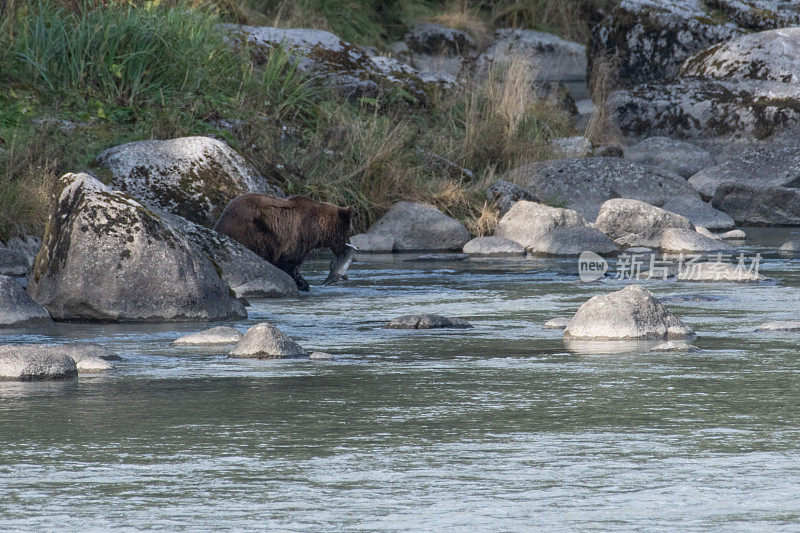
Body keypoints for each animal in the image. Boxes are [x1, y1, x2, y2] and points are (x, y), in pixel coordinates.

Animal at [214, 192, 354, 288]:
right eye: (348, 232)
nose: (348, 247)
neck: (318, 229)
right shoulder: (299, 236)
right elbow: (289, 262)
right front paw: (303, 283)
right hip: (253, 230)